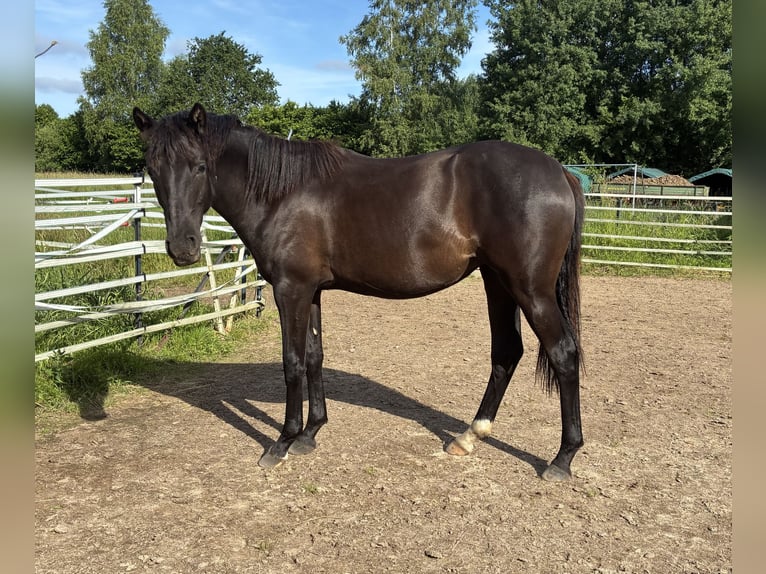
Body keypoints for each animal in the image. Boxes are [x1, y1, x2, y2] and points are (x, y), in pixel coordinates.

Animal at [133, 103, 586, 481]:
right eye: (153, 170)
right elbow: (314, 356)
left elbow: (292, 362)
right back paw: (469, 436)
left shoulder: (290, 290)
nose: (183, 248)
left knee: (563, 353)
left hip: (530, 289)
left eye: (199, 166)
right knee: (506, 352)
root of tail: (559, 171)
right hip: (498, 282)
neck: (282, 192)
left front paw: (283, 441)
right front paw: (311, 434)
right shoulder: (311, 291)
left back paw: (562, 458)